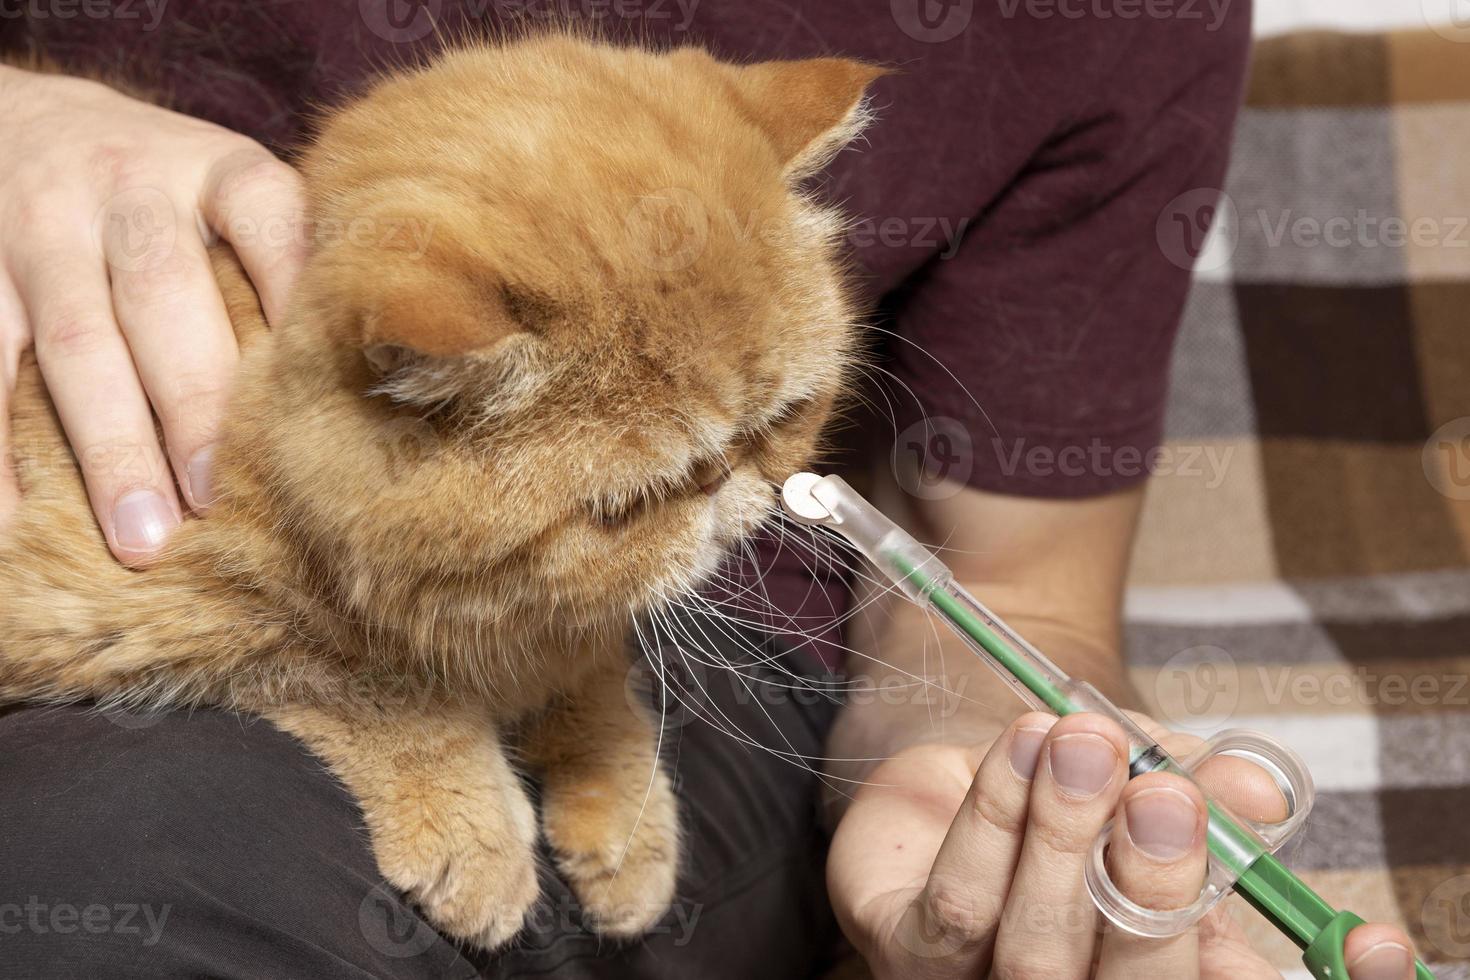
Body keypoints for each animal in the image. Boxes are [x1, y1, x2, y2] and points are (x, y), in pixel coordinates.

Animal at [0, 38, 876, 952]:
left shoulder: (573, 629)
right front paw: (476, 830)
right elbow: (372, 684)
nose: (732, 489)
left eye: (781, 419)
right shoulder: (135, 619)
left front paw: (627, 815)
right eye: (641, 499)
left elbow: (597, 683)